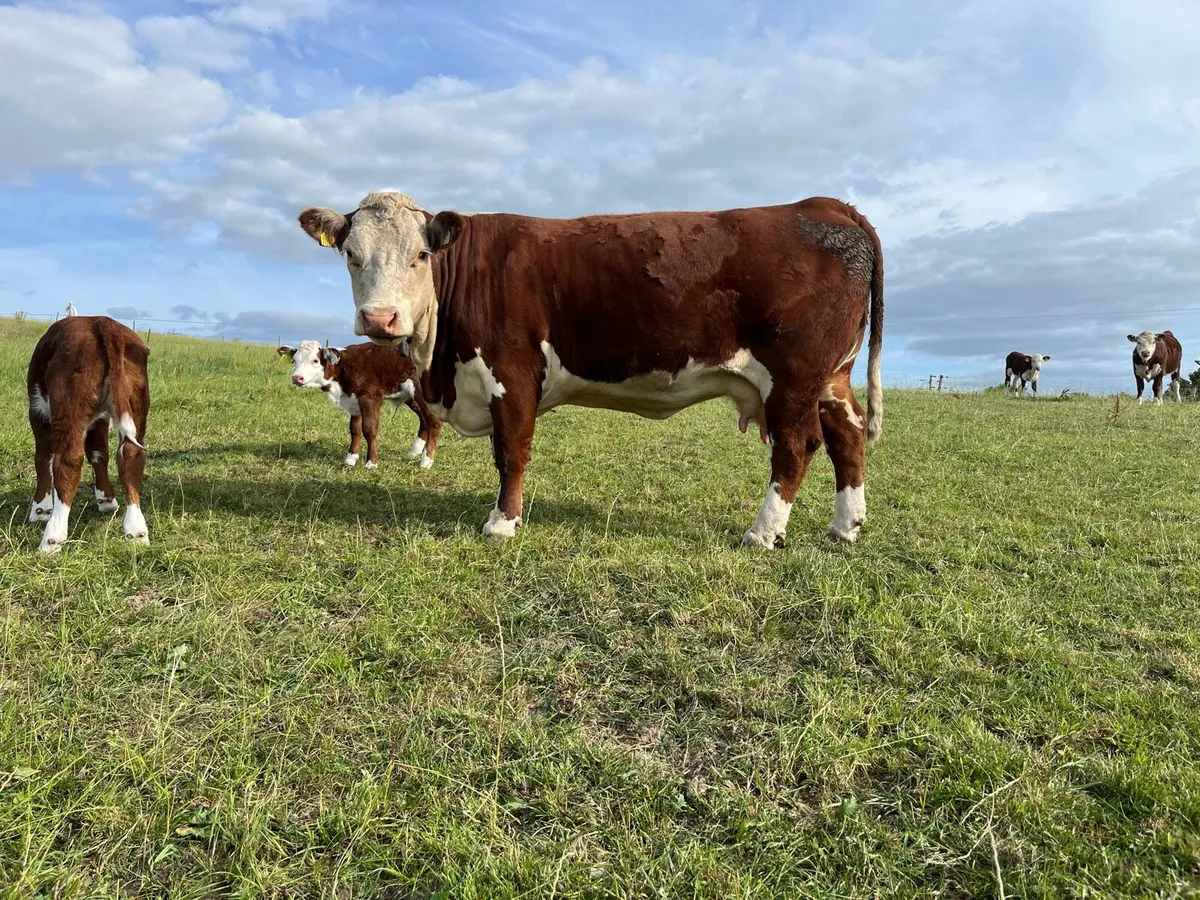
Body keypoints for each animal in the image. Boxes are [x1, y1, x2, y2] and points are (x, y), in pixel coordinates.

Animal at [27, 316, 150, 552]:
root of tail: (102, 322)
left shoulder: (37, 410)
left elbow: (43, 458)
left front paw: (40, 509)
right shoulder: (101, 419)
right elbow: (99, 453)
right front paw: (106, 499)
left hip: (68, 405)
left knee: (68, 461)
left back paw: (52, 537)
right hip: (136, 404)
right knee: (131, 455)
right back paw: (137, 529)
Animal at [277, 339, 442, 469]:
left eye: (315, 360)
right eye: (294, 360)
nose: (296, 377)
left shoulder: (370, 398)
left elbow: (369, 429)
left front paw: (371, 462)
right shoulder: (354, 402)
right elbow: (355, 429)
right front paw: (350, 458)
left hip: (420, 392)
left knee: (434, 422)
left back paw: (426, 461)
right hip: (410, 397)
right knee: (424, 419)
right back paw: (415, 451)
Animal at [297, 191, 884, 548]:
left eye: (420, 255)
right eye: (350, 254)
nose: (380, 318)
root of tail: (829, 206)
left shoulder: (513, 372)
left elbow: (511, 452)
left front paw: (502, 523)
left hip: (793, 377)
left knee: (796, 447)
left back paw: (763, 533)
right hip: (831, 377)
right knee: (848, 434)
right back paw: (846, 525)